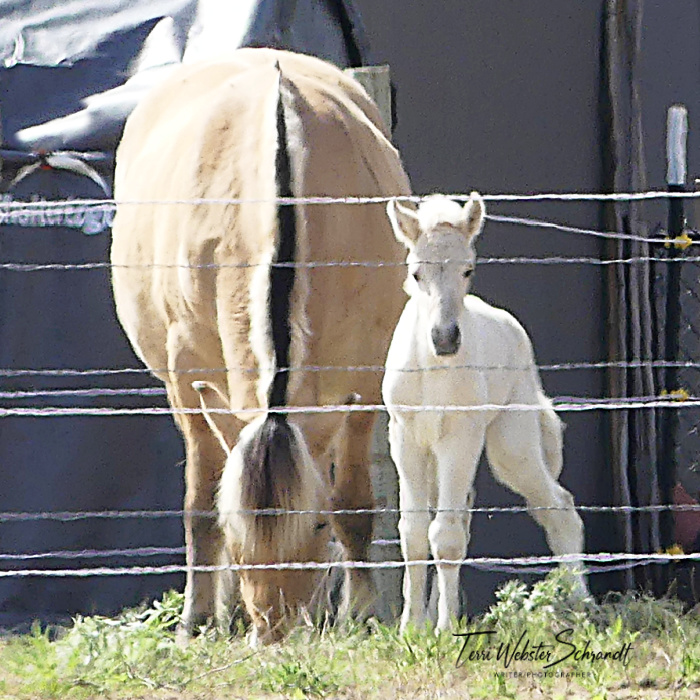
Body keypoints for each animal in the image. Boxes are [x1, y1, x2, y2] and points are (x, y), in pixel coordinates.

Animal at [110, 48, 411, 645]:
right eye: (237, 526)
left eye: (316, 523)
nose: (273, 631)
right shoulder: (187, 378)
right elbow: (200, 504)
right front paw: (197, 618)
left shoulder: (364, 374)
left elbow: (354, 501)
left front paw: (364, 614)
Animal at [382, 193, 588, 633]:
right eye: (416, 272)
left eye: (468, 269)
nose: (445, 338)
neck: (433, 369)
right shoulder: (406, 440)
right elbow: (414, 532)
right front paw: (412, 628)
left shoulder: (460, 439)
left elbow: (445, 537)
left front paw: (443, 631)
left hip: (512, 448)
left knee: (559, 507)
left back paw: (580, 603)